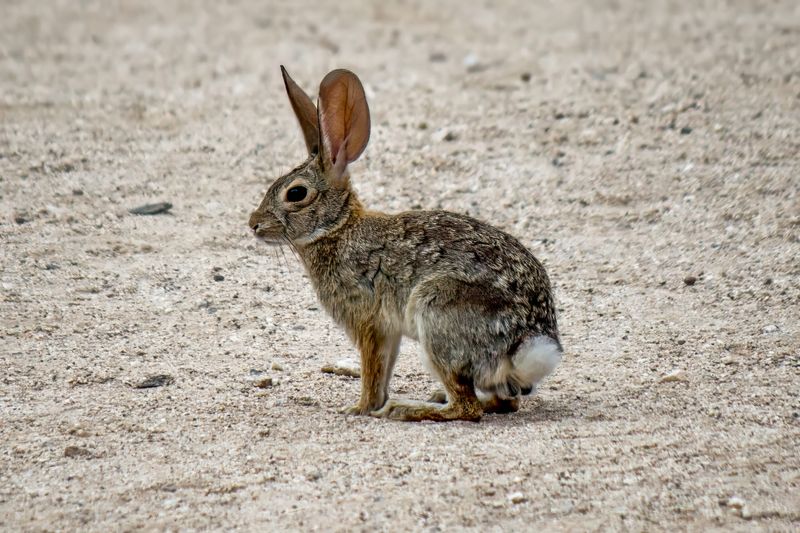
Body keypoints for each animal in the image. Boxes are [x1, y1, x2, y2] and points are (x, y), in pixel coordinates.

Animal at [250, 65, 564, 420]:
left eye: (296, 193)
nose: (253, 223)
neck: (337, 228)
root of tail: (528, 342)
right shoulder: (388, 330)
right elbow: (384, 369)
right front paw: (369, 405)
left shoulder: (369, 321)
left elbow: (373, 371)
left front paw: (359, 408)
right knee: (504, 402)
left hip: (435, 311)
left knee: (467, 408)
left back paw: (407, 409)